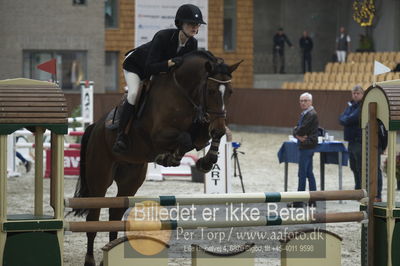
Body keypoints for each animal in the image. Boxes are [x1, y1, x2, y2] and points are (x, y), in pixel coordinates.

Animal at [71, 50, 241, 266]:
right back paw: (90, 259)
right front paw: (169, 158)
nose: (218, 125)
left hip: (130, 178)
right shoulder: (158, 134)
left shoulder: (201, 131)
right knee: (93, 217)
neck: (183, 92)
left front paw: (206, 161)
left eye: (230, 92)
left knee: (115, 213)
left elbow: (204, 138)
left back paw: (110, 250)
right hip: (99, 177)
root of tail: (95, 127)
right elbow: (184, 139)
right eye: (211, 91)